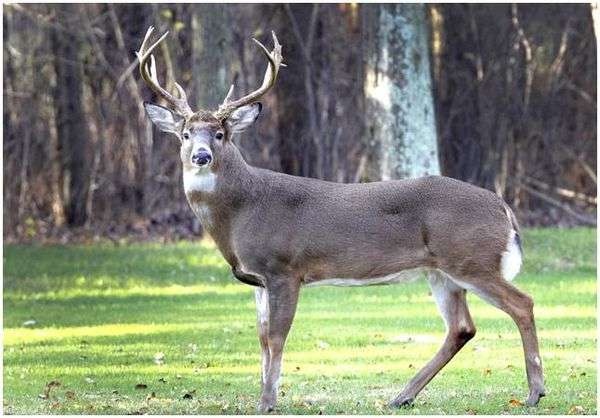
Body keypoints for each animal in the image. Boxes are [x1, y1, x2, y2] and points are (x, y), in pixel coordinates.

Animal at [135, 27, 544, 414]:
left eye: (220, 134)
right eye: (185, 134)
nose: (201, 156)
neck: (241, 212)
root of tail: (503, 207)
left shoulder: (285, 269)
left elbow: (277, 338)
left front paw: (268, 401)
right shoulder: (257, 279)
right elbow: (262, 339)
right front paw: (262, 397)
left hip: (470, 259)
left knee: (522, 303)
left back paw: (535, 392)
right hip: (441, 272)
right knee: (461, 328)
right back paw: (401, 396)